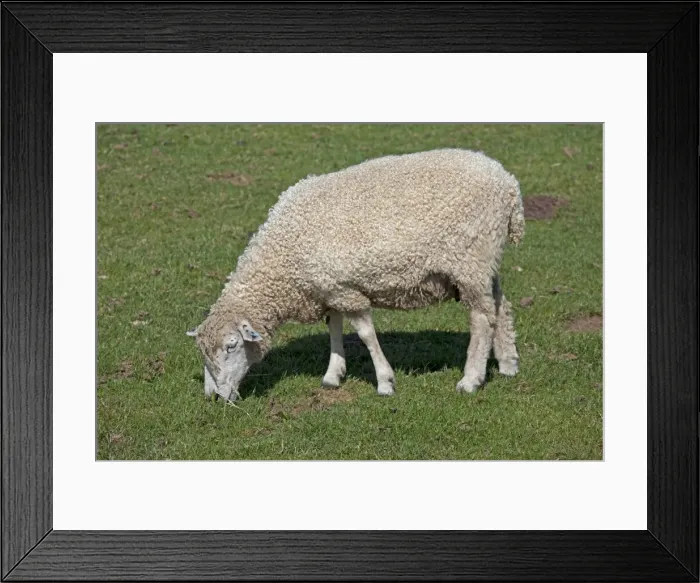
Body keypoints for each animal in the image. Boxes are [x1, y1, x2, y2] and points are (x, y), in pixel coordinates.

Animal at [187, 148, 525, 402]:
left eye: (231, 346)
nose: (214, 397)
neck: (284, 258)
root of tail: (508, 183)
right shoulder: (329, 288)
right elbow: (334, 327)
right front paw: (333, 375)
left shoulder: (346, 290)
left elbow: (365, 334)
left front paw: (385, 382)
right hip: (485, 260)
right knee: (500, 304)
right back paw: (507, 363)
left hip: (470, 259)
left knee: (482, 318)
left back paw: (471, 379)